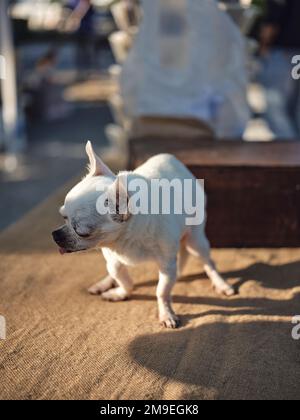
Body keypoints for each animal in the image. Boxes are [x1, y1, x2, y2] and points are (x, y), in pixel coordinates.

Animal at [52, 142, 234, 328]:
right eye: (63, 217)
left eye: (81, 232)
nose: (55, 234)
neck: (123, 240)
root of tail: (176, 162)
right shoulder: (113, 259)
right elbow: (122, 278)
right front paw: (122, 292)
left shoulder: (167, 266)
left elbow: (161, 291)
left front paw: (166, 313)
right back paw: (104, 283)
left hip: (195, 240)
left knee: (208, 262)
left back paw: (220, 283)